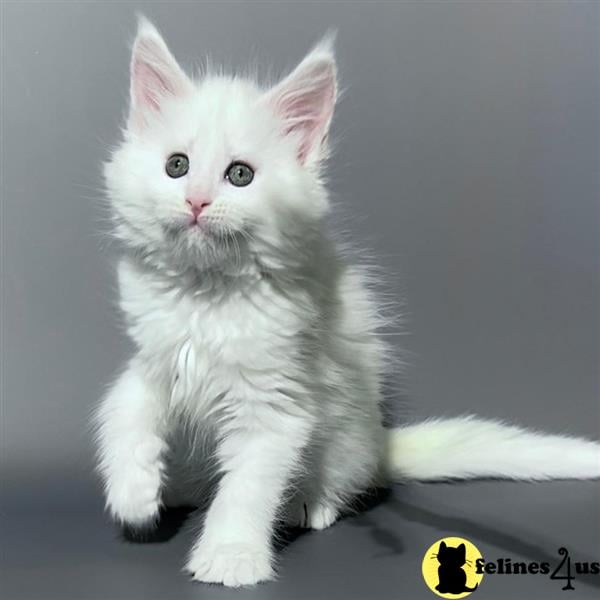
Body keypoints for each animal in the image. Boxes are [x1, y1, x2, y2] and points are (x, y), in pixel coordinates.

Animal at [95, 17, 600, 584]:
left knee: (341, 485)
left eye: (240, 174)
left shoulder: (276, 405)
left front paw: (230, 554)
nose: (196, 201)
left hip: (345, 435)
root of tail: (381, 442)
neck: (207, 294)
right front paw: (135, 495)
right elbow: (123, 413)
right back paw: (181, 488)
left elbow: (245, 487)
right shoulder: (153, 363)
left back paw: (306, 504)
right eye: (176, 166)